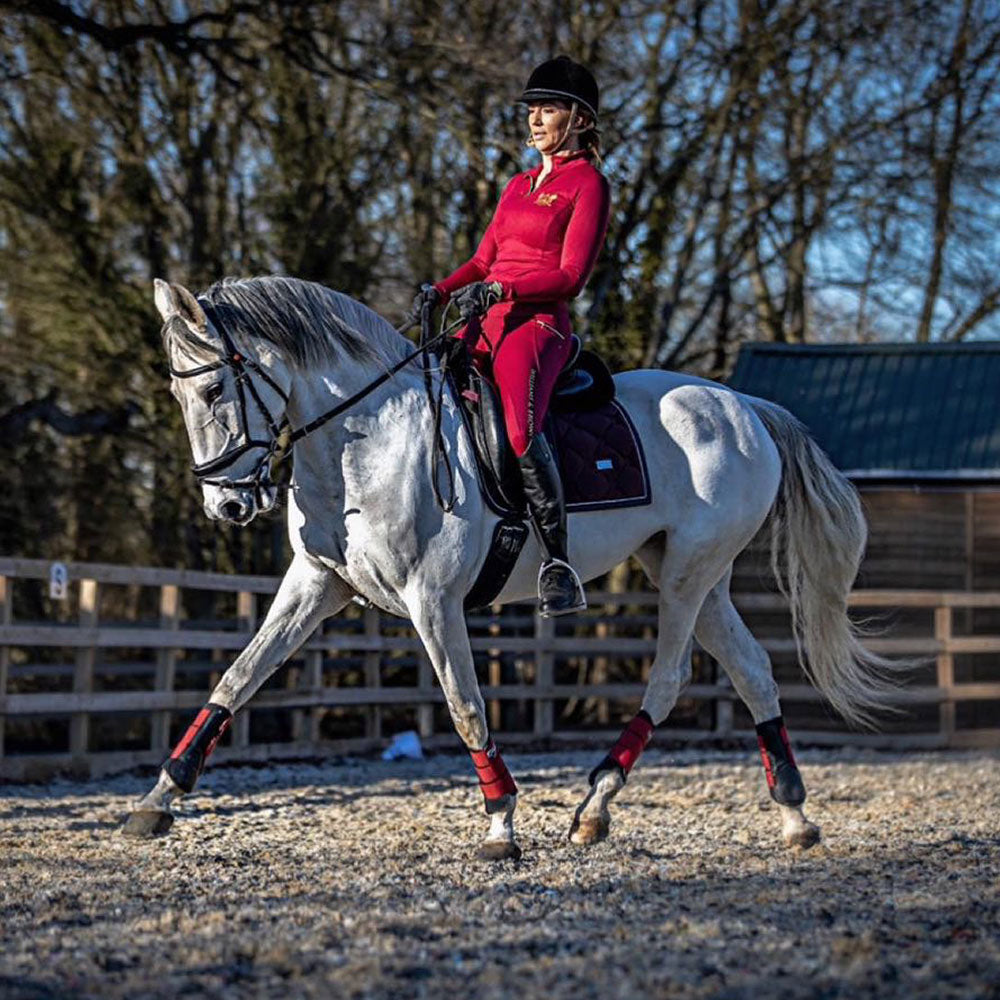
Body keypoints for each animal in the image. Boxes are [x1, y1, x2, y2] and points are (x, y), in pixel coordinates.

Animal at [123, 276, 900, 860]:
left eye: (215, 392)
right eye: (178, 395)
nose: (225, 505)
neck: (368, 441)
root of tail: (743, 407)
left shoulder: (432, 599)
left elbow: (466, 706)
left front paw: (500, 823)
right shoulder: (316, 583)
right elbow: (238, 677)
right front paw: (158, 798)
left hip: (689, 572)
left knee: (672, 675)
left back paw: (596, 805)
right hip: (692, 573)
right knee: (752, 669)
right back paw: (793, 816)